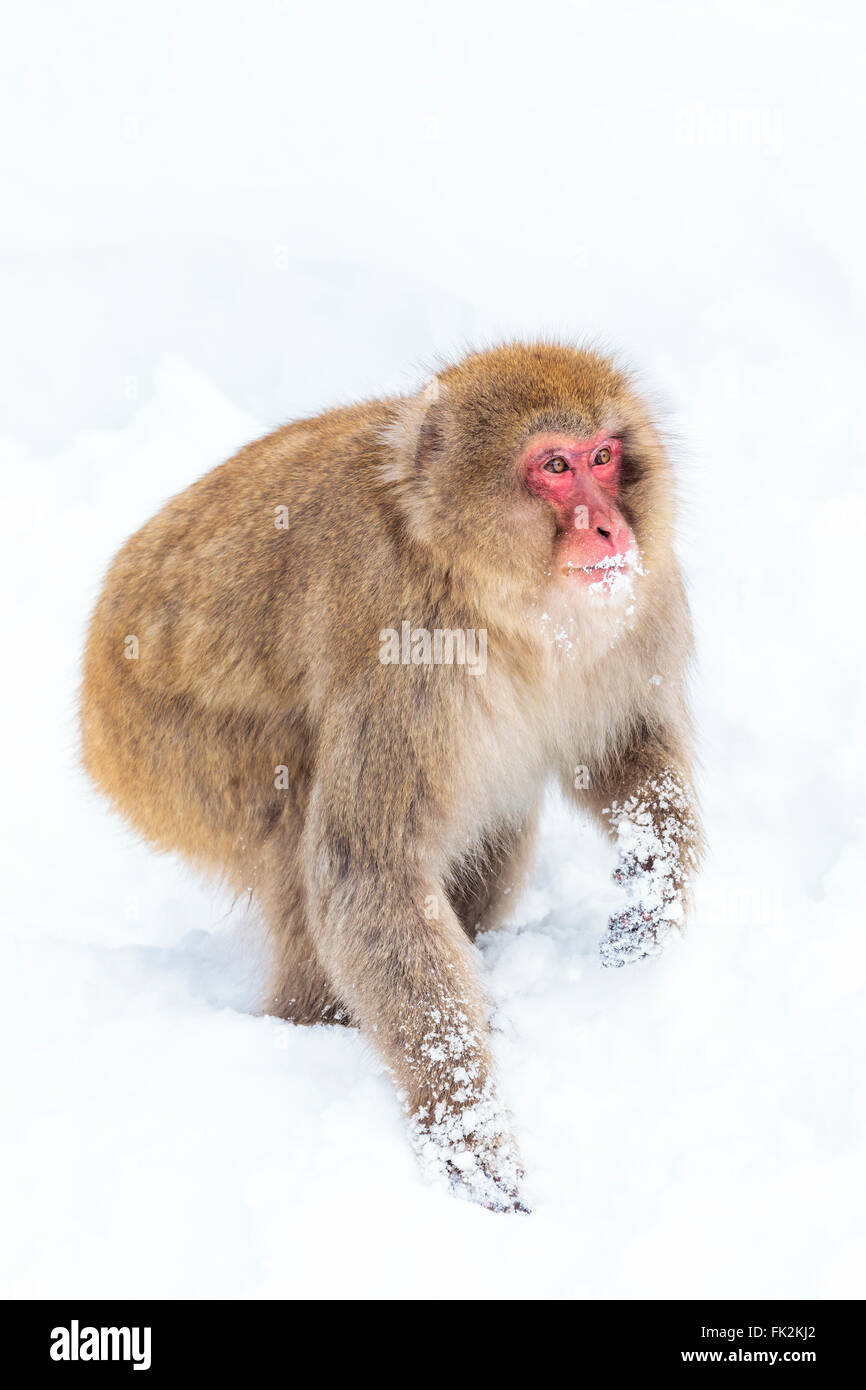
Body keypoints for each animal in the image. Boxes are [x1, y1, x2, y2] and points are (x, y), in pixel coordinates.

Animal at [81, 341, 706, 1212]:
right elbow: (367, 876)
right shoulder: (403, 654)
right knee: (302, 852)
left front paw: (653, 887)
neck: (492, 594)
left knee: (494, 824)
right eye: (554, 465)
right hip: (164, 752)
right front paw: (466, 1128)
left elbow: (622, 755)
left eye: (604, 457)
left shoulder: (640, 597)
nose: (610, 525)